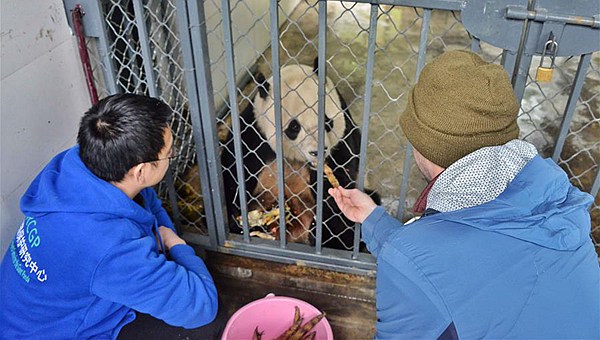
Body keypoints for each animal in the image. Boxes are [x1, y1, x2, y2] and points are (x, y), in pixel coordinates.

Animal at [220, 58, 380, 250]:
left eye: (327, 122)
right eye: (294, 127)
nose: (317, 151)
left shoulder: (344, 134)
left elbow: (342, 173)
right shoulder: (253, 132)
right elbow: (233, 169)